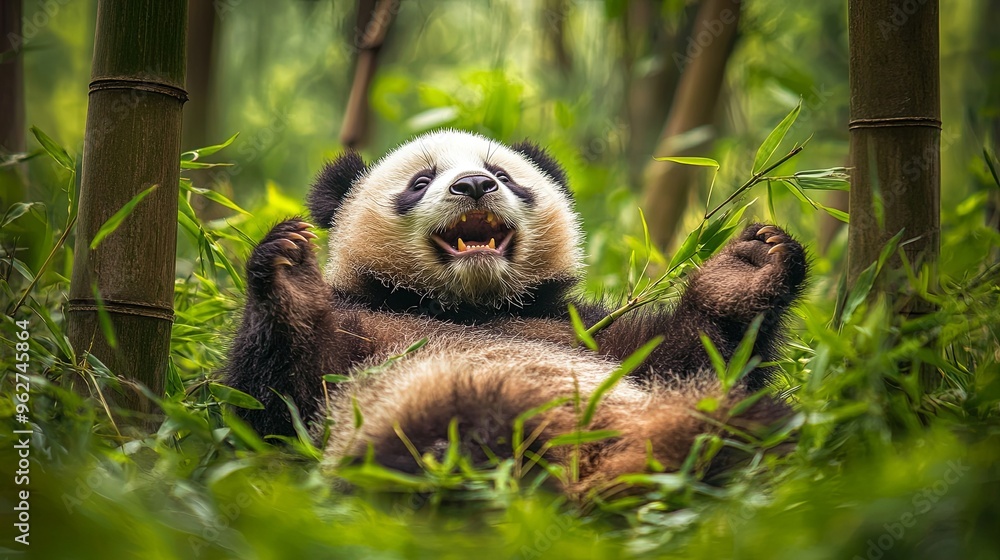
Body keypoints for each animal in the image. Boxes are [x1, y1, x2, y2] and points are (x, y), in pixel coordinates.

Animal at [225, 129, 807, 497]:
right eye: (421, 181)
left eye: (502, 174)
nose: (474, 185)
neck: (469, 307)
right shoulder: (365, 335)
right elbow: (273, 406)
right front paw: (288, 270)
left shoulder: (580, 330)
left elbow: (698, 354)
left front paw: (746, 269)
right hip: (415, 417)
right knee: (439, 444)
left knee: (753, 428)